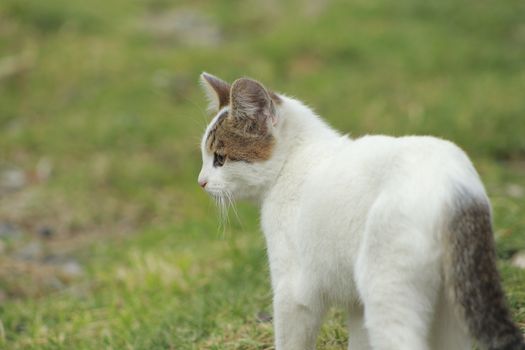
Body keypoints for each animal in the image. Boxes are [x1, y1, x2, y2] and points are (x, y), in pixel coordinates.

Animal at [195, 72, 524, 348]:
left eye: (220, 159)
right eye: (205, 157)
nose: (201, 182)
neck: (294, 161)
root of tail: (455, 186)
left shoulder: (293, 291)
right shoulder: (354, 302)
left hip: (386, 289)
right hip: (451, 305)